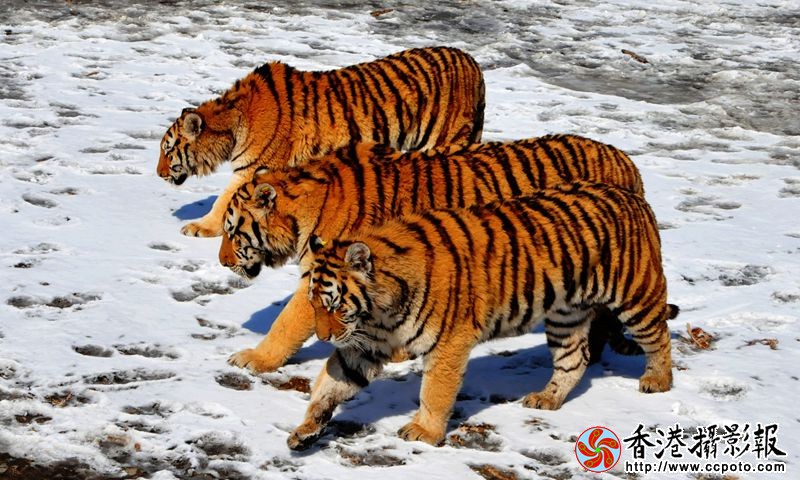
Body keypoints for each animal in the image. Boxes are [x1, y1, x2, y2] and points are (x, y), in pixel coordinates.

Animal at [156, 46, 485, 237]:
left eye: (168, 149)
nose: (159, 174)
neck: (233, 120)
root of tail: (472, 61)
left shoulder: (252, 169)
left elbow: (224, 200)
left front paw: (199, 227)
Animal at [221, 134, 651, 374]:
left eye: (231, 231)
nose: (224, 261)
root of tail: (627, 162)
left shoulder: (328, 275)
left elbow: (289, 323)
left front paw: (256, 359)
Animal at [288, 182, 676, 449]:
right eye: (315, 304)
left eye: (335, 305)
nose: (323, 337)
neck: (379, 312)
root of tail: (633, 196)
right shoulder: (365, 345)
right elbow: (330, 383)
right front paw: (306, 428)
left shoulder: (448, 343)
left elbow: (435, 391)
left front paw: (424, 432)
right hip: (566, 313)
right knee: (574, 358)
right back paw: (547, 398)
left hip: (635, 295)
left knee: (659, 336)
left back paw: (657, 380)